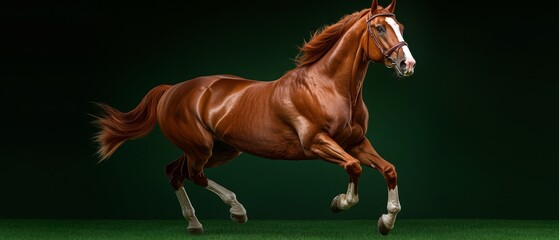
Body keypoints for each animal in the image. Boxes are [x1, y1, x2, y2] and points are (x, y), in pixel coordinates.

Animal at [93, 0, 416, 236]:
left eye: (400, 26)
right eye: (379, 28)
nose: (407, 64)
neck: (329, 86)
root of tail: (171, 90)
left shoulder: (356, 142)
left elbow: (389, 170)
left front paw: (386, 221)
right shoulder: (316, 142)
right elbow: (354, 167)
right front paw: (340, 203)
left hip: (220, 149)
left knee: (175, 172)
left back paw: (195, 224)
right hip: (201, 148)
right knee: (193, 175)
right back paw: (237, 211)